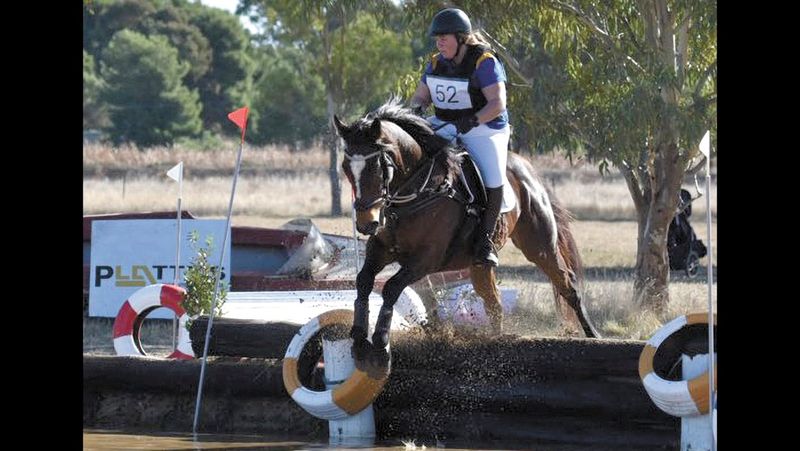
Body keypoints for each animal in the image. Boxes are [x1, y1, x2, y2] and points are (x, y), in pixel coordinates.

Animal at [334, 99, 599, 357]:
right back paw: (496, 339)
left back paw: (593, 334)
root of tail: (527, 169)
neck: (414, 193)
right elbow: (364, 280)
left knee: (567, 284)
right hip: (480, 265)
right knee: (493, 301)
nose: (366, 223)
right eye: (346, 167)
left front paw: (380, 338)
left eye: (377, 168)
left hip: (539, 245)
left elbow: (391, 287)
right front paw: (359, 334)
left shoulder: (426, 258)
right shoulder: (380, 249)